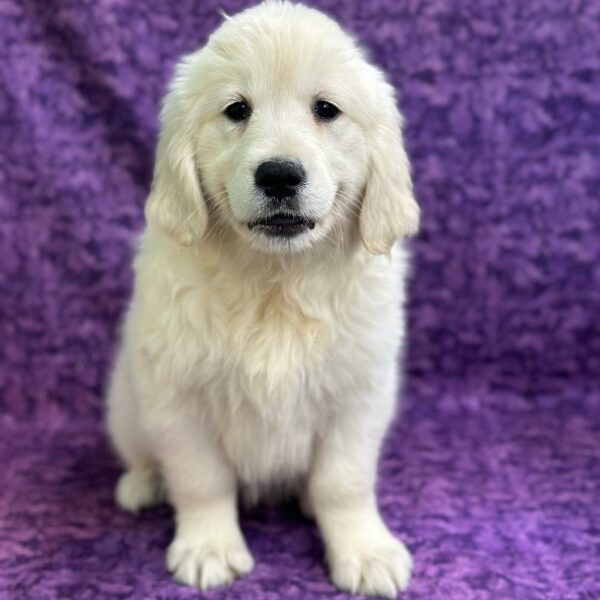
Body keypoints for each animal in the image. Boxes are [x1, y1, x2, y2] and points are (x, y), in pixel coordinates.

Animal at [105, 1, 420, 596]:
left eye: (326, 109)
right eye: (236, 109)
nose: (279, 173)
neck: (276, 280)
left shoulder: (359, 393)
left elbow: (344, 481)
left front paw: (364, 551)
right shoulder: (178, 396)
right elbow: (201, 478)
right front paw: (209, 547)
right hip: (125, 407)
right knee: (144, 455)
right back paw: (144, 484)